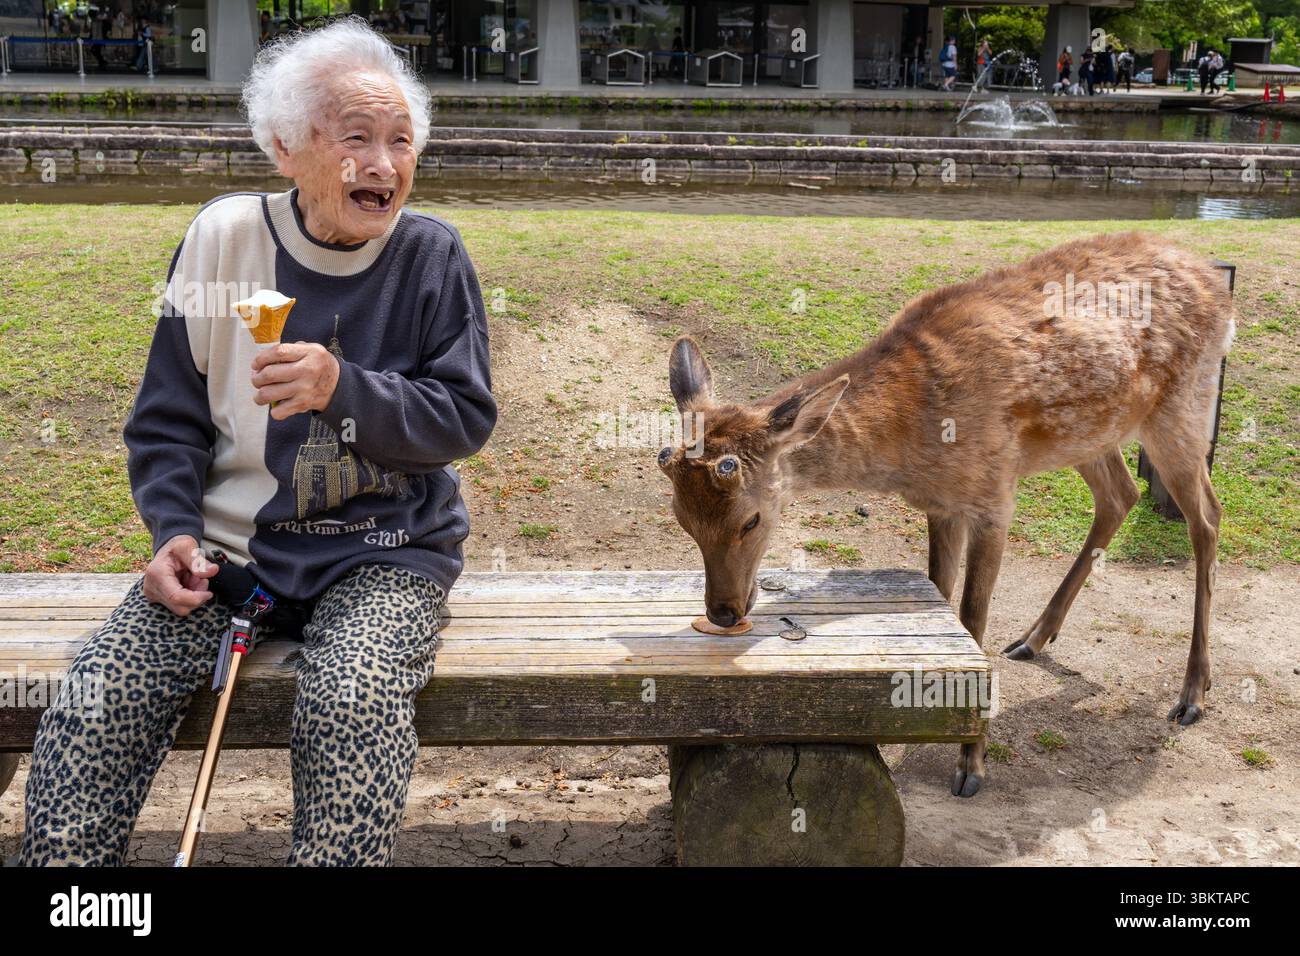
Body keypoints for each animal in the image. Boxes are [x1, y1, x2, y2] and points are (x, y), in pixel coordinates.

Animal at [658, 231, 1234, 798]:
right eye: (683, 520)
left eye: (750, 520)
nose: (723, 613)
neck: (914, 442)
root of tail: (1215, 284)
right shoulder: (941, 505)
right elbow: (940, 593)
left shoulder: (994, 496)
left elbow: (973, 619)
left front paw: (970, 765)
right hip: (1093, 431)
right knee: (1122, 494)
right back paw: (1034, 637)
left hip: (1182, 405)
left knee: (1207, 515)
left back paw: (1192, 692)